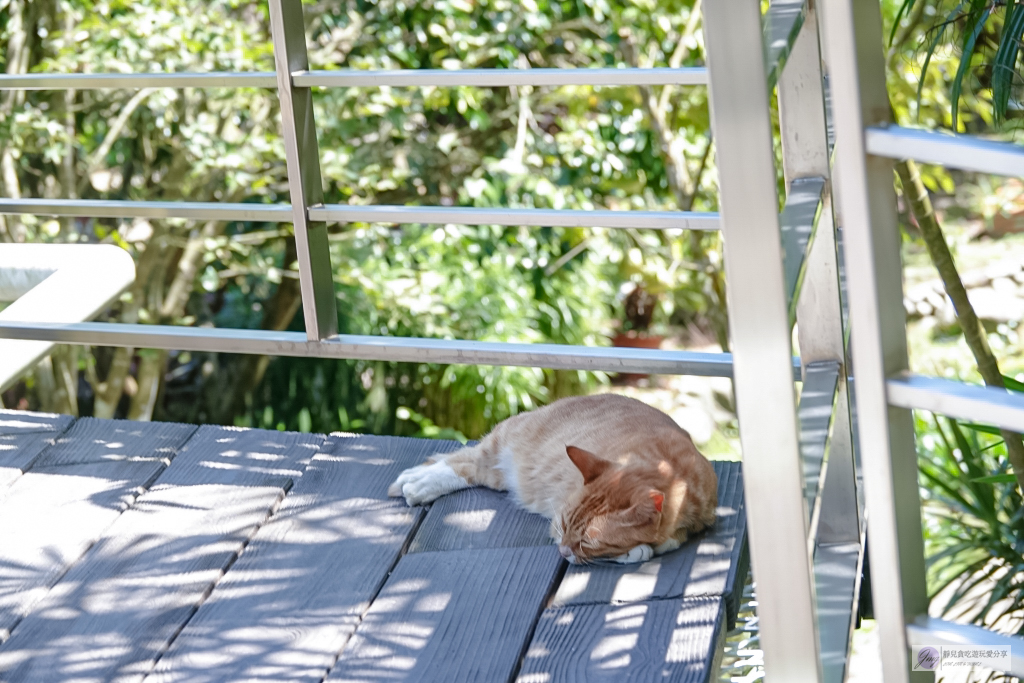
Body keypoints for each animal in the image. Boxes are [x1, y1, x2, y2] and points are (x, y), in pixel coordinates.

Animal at [387, 393, 716, 565]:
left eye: (587, 540)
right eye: (563, 524)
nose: (562, 552)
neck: (672, 469)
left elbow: (669, 541)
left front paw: (639, 549)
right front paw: (637, 550)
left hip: (497, 472)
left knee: (470, 468)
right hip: (501, 445)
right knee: (460, 461)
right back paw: (417, 482)